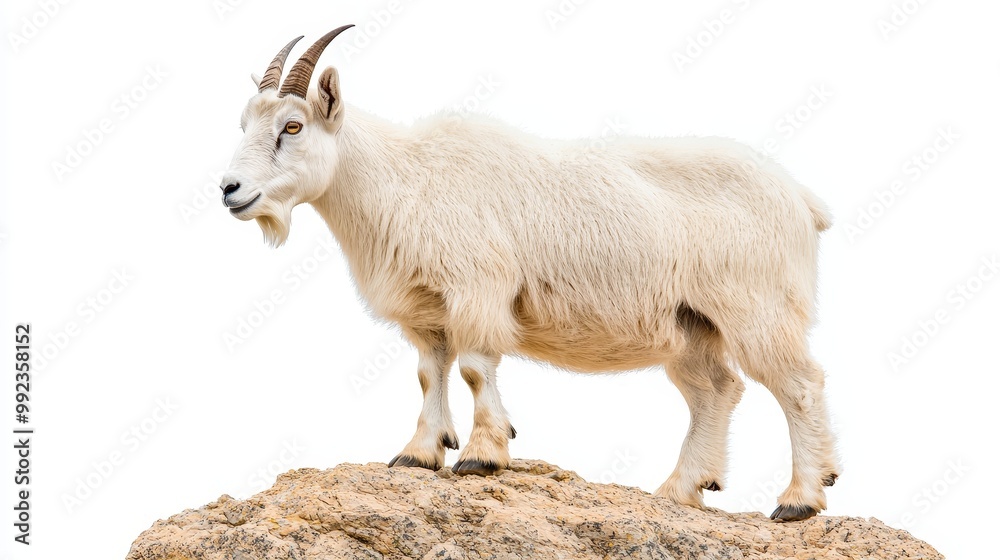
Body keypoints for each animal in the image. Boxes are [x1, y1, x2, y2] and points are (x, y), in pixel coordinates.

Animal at [221, 26, 840, 522]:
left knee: (799, 385)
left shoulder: (477, 290)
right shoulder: (428, 312)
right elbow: (428, 374)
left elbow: (474, 370)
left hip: (758, 308)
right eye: (245, 123)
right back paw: (678, 490)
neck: (405, 178)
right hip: (691, 325)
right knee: (716, 389)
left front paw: (481, 456)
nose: (230, 189)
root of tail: (803, 200)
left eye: (293, 126)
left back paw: (799, 500)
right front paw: (419, 454)